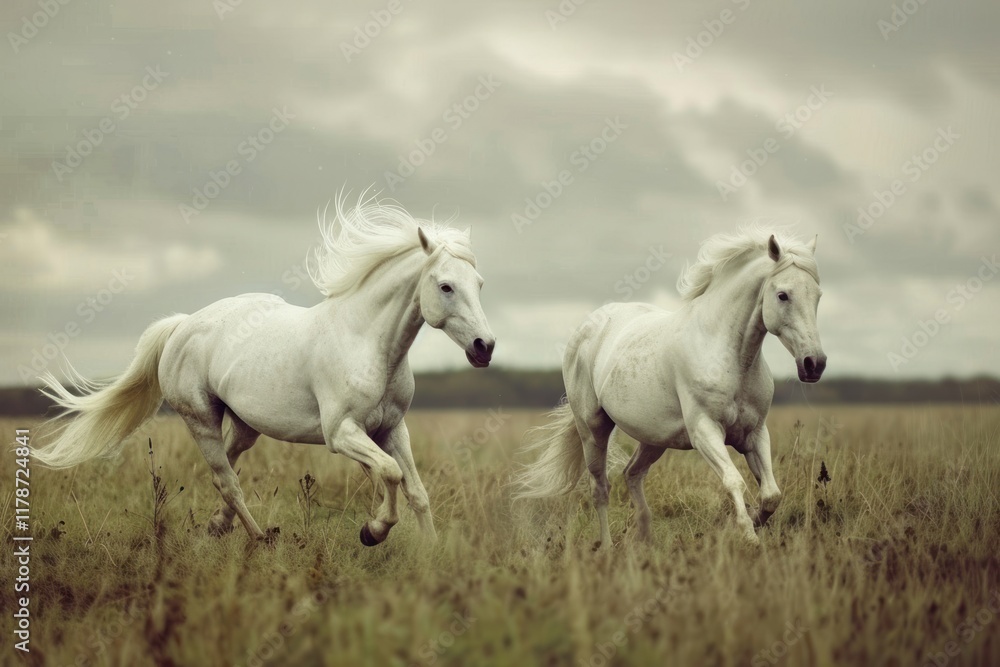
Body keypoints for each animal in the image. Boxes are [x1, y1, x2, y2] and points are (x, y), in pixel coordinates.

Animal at [30, 195, 496, 547]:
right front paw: (373, 531)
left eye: (479, 284)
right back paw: (258, 537)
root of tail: (181, 325)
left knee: (228, 470)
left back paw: (219, 527)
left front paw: (430, 552)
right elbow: (389, 474)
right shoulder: (342, 433)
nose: (484, 347)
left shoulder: (392, 428)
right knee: (227, 481)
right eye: (445, 286)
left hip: (244, 426)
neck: (367, 343)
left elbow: (415, 489)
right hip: (200, 420)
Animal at [513, 227, 826, 547]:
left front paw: (753, 521)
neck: (731, 356)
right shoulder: (705, 432)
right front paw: (748, 536)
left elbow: (771, 494)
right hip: (593, 429)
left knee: (632, 474)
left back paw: (644, 537)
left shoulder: (755, 433)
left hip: (653, 438)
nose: (814, 364)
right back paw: (610, 546)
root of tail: (589, 325)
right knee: (600, 488)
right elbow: (734, 481)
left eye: (817, 295)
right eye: (783, 295)